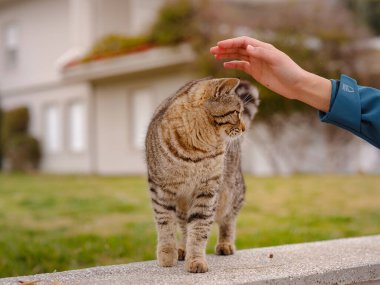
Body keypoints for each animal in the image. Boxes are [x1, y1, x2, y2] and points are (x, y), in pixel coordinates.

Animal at [145, 76, 258, 272]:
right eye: (236, 112)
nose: (244, 128)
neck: (197, 148)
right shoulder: (160, 190)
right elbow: (166, 225)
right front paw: (168, 254)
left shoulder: (207, 191)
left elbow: (199, 228)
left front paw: (196, 260)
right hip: (182, 203)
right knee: (183, 225)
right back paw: (181, 248)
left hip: (231, 194)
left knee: (228, 220)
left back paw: (225, 244)